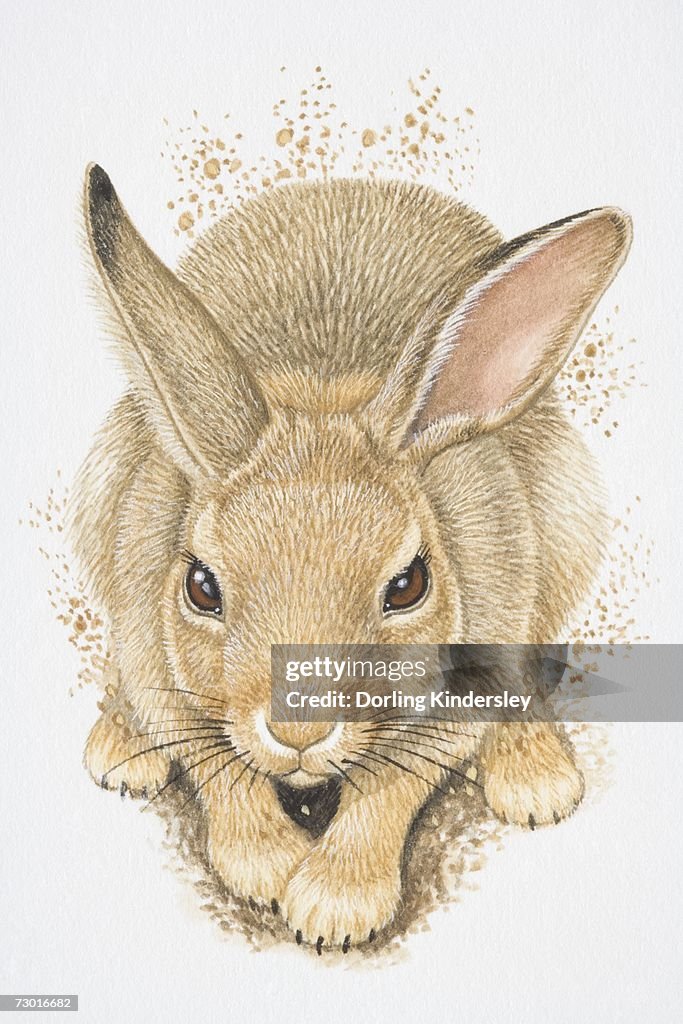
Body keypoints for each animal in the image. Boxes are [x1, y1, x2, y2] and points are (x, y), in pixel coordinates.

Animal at [72, 163, 631, 951]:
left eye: (408, 585)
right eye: (202, 587)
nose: (297, 732)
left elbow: (388, 787)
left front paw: (334, 904)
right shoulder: (151, 643)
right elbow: (217, 767)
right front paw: (268, 868)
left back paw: (535, 777)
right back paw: (121, 749)